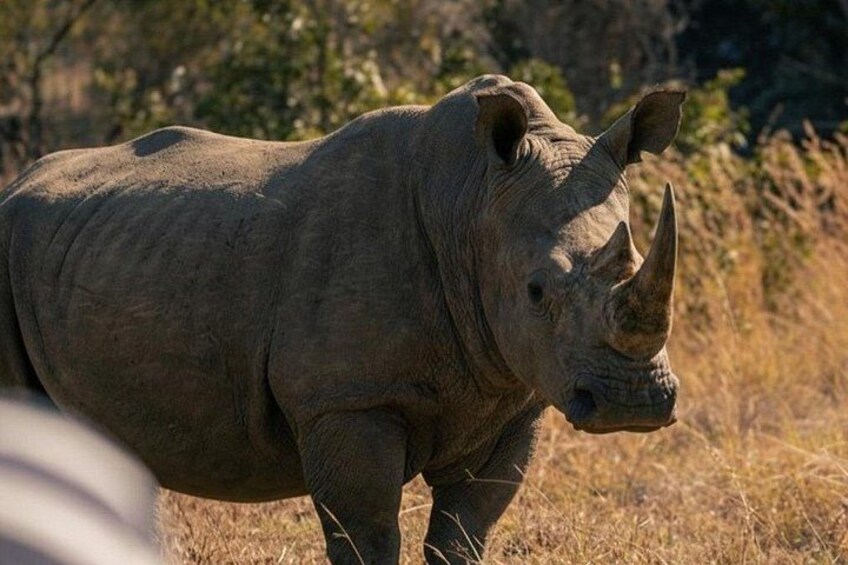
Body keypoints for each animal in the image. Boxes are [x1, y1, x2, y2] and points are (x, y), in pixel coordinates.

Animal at [0, 75, 683, 564]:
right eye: (537, 291)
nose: (633, 403)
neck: (471, 204)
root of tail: (16, 185)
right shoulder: (348, 400)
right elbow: (368, 534)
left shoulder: (514, 398)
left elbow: (463, 533)